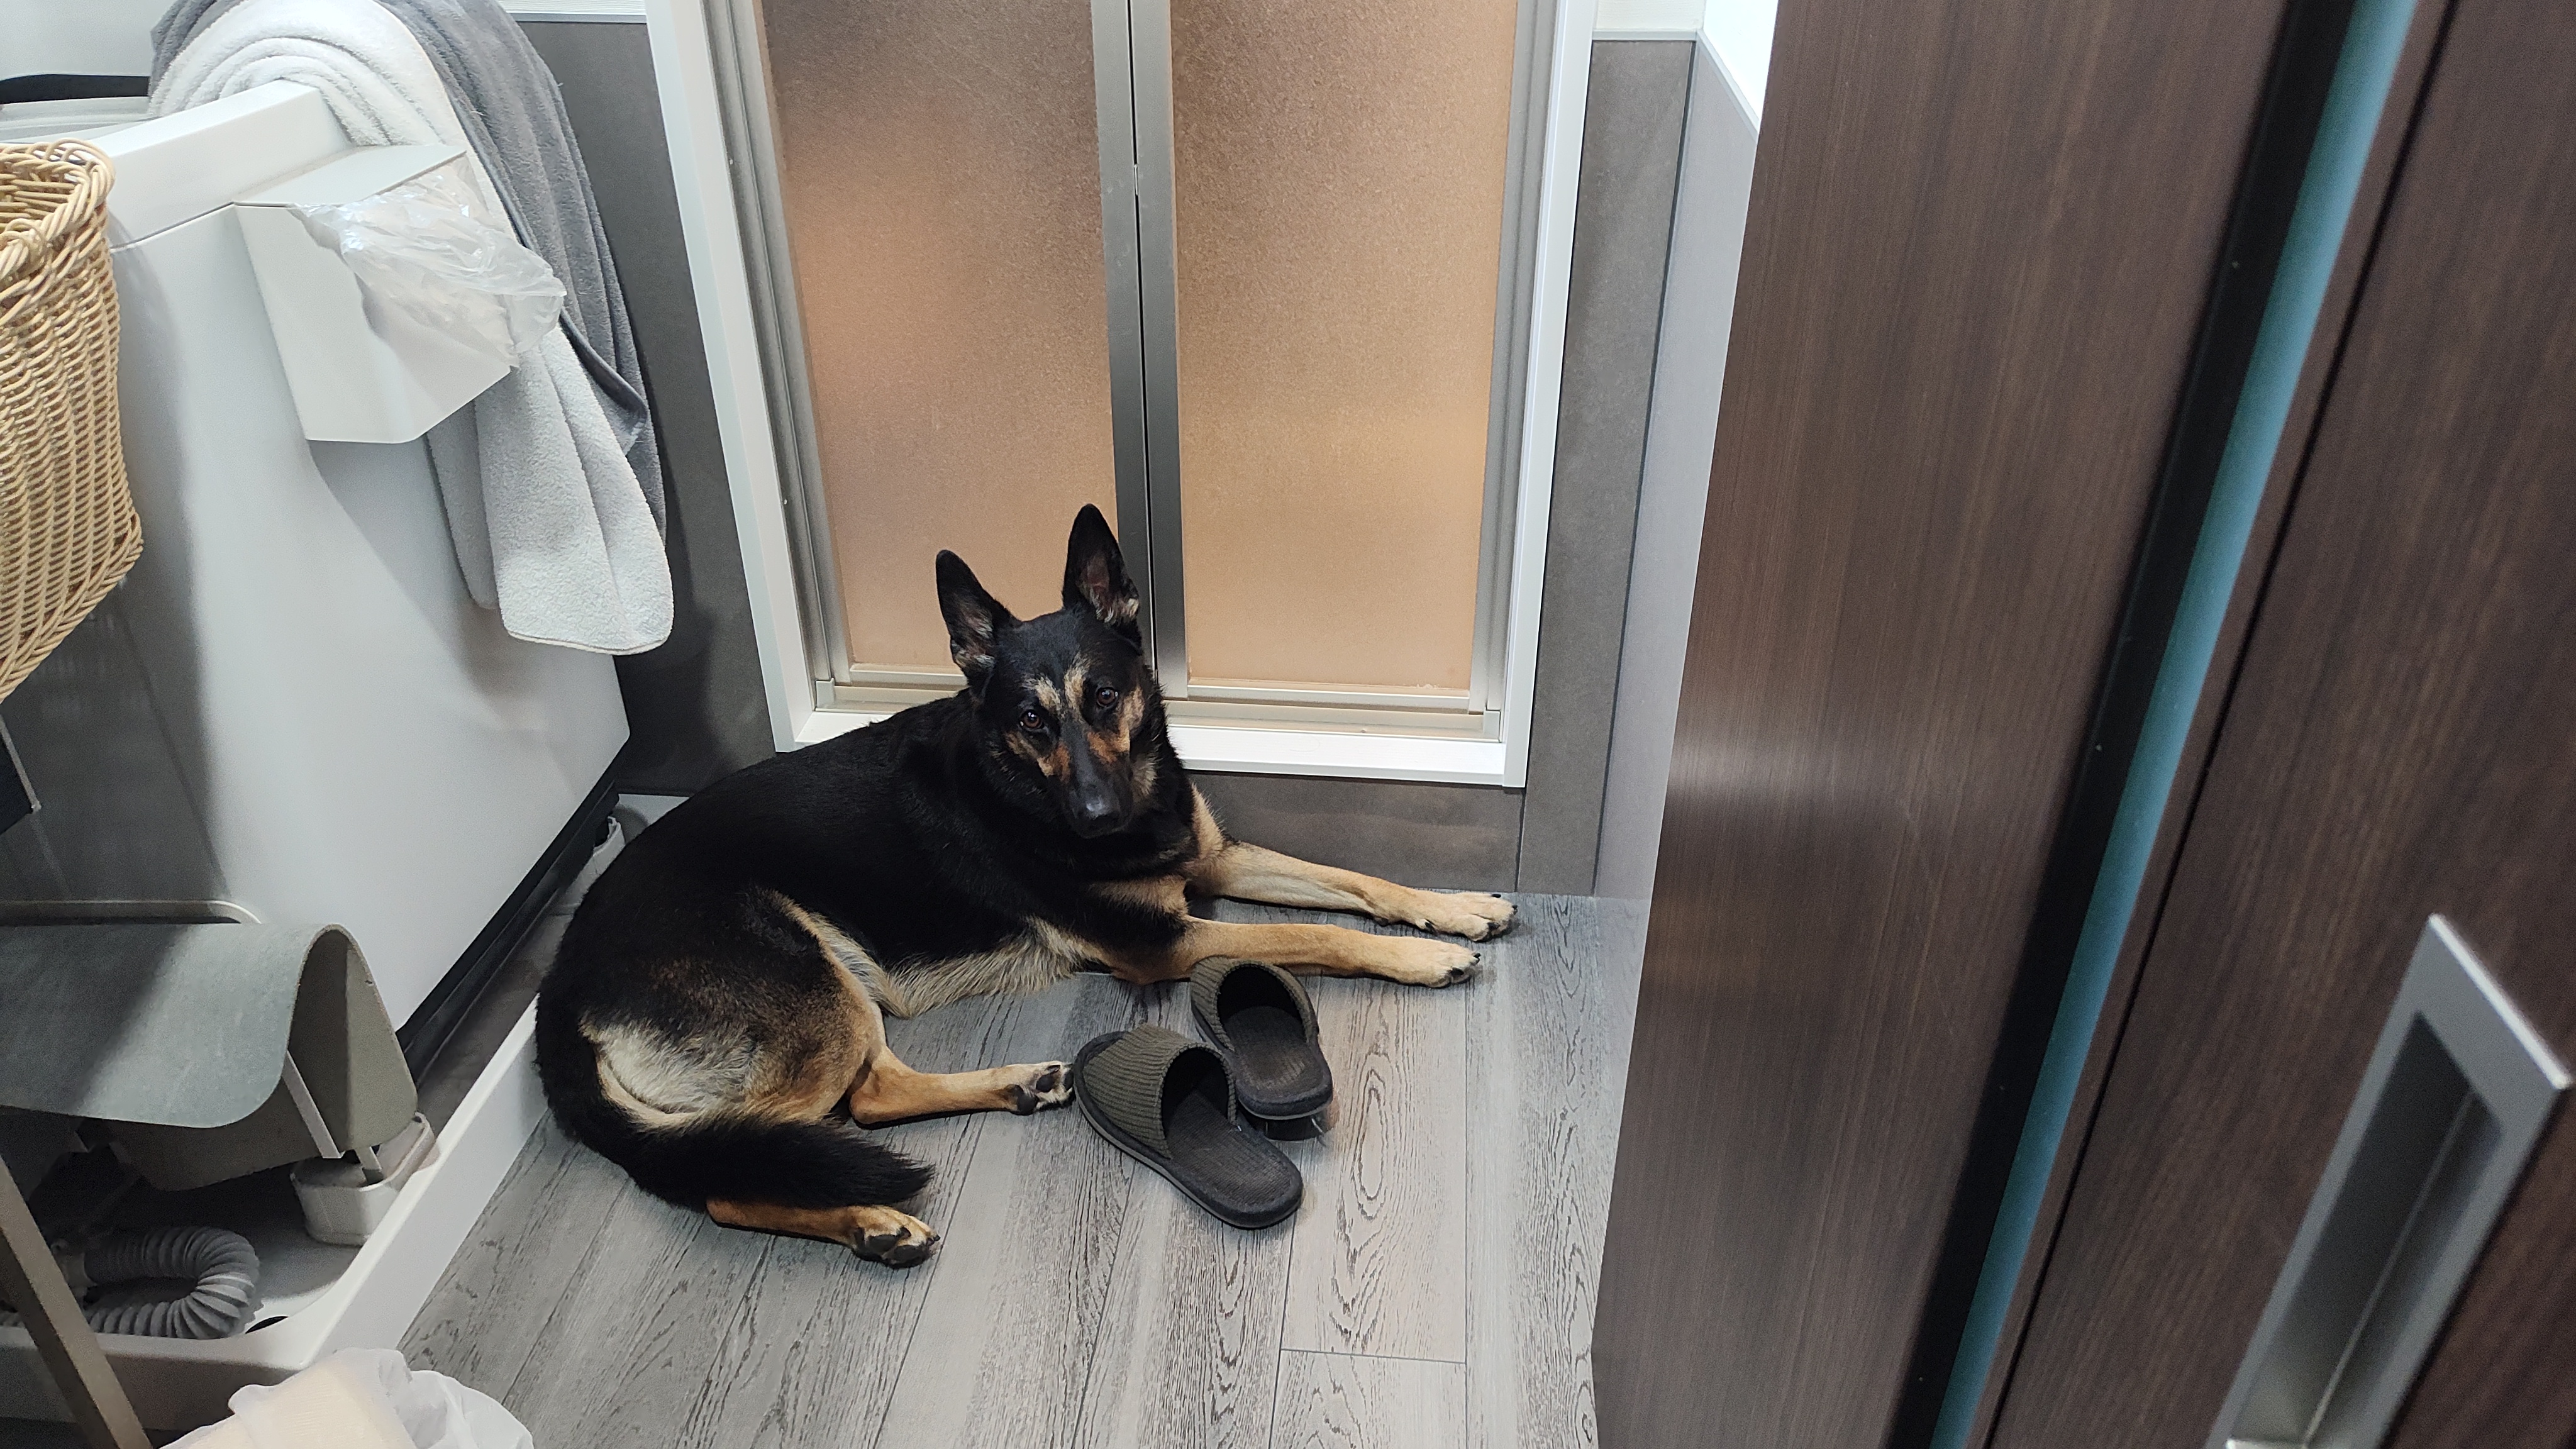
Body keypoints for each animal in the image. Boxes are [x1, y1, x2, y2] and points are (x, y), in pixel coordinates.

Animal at [535, 506, 1515, 1265]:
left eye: (1106, 696)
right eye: (1031, 721)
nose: (1095, 816)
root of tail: (560, 986)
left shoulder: (1217, 859)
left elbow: (1358, 880)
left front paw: (1456, 908)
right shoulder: (1164, 943)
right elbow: (1318, 935)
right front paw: (1422, 960)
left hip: (843, 989)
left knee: (870, 1099)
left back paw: (1017, 1087)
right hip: (813, 994)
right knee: (732, 1176)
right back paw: (870, 1222)